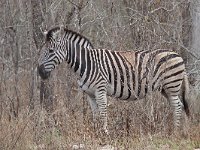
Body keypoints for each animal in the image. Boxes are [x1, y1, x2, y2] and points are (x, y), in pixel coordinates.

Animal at [38, 25, 190, 134]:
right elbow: (95, 114)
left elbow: (103, 111)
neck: (87, 63)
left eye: (51, 51)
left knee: (177, 106)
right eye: (41, 51)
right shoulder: (89, 94)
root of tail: (177, 55)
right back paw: (181, 131)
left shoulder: (100, 89)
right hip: (165, 89)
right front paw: (96, 132)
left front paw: (105, 133)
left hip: (171, 86)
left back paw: (175, 132)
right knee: (178, 105)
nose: (40, 72)